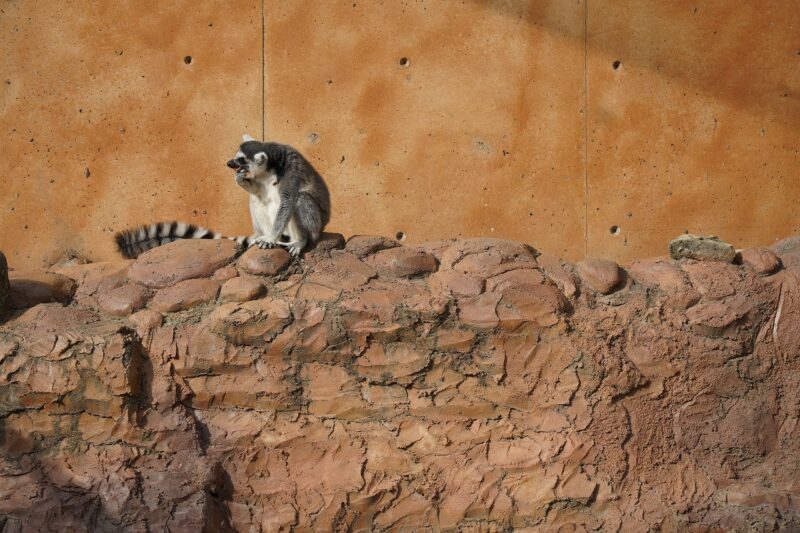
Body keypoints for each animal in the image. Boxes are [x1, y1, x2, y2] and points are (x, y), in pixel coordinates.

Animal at [114, 135, 331, 259]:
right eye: (236, 157)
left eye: (240, 159)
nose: (229, 164)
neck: (272, 165)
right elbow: (258, 191)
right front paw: (240, 180)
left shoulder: (291, 172)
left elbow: (287, 201)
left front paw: (271, 239)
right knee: (257, 199)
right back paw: (260, 236)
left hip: (315, 225)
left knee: (301, 199)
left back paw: (298, 241)